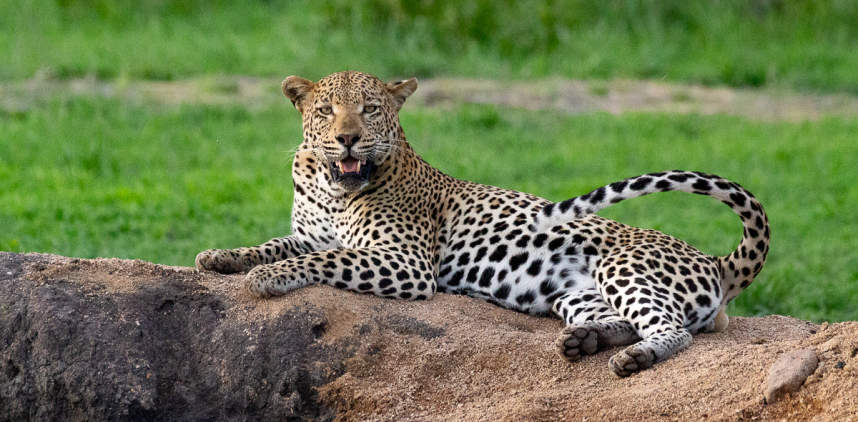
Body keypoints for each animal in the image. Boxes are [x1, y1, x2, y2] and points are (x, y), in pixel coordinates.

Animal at [196, 70, 770, 377]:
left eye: (370, 109)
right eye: (325, 111)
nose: (348, 139)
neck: (333, 187)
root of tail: (716, 262)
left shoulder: (405, 264)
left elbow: (327, 257)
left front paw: (268, 279)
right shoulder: (305, 233)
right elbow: (275, 243)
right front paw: (219, 257)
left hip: (627, 269)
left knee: (674, 330)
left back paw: (635, 358)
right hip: (574, 291)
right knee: (622, 319)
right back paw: (584, 342)